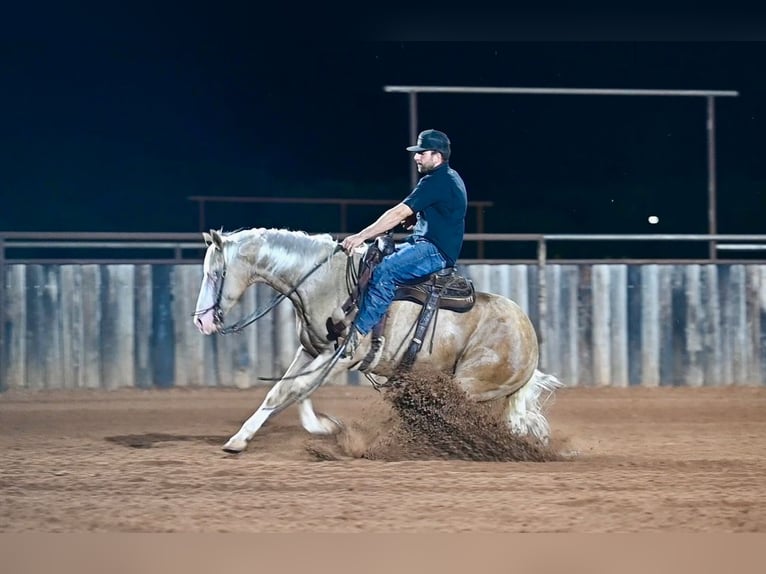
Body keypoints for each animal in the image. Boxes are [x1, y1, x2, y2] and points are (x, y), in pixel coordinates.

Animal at [193, 227, 563, 453]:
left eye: (215, 273)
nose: (201, 320)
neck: (326, 283)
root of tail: (529, 338)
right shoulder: (312, 350)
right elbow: (287, 390)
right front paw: (320, 427)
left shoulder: (342, 356)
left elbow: (293, 389)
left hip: (467, 384)